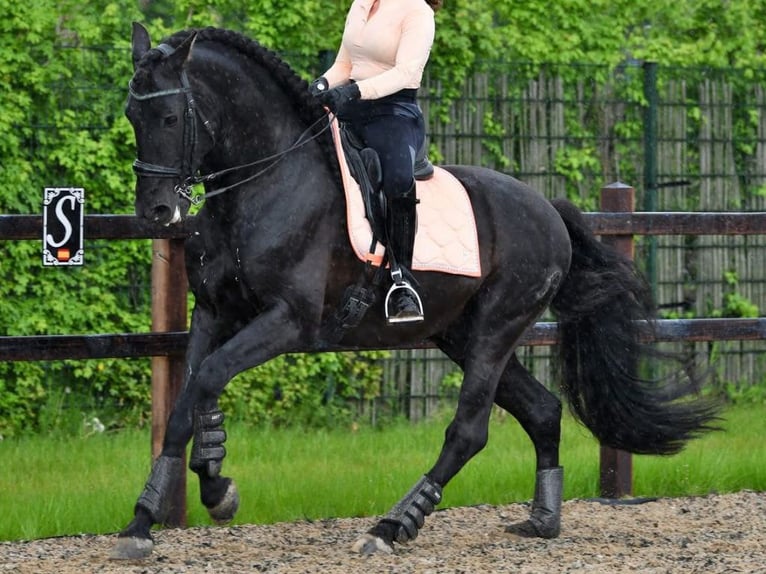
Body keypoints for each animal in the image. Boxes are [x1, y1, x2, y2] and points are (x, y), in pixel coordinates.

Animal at [112, 23, 719, 559]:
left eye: (170, 116)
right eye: (132, 115)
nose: (156, 212)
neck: (265, 183)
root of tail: (548, 210)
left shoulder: (288, 320)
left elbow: (211, 376)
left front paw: (217, 490)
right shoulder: (214, 313)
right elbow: (186, 402)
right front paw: (146, 520)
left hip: (496, 329)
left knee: (469, 430)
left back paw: (391, 526)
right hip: (461, 335)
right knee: (543, 410)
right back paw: (543, 519)